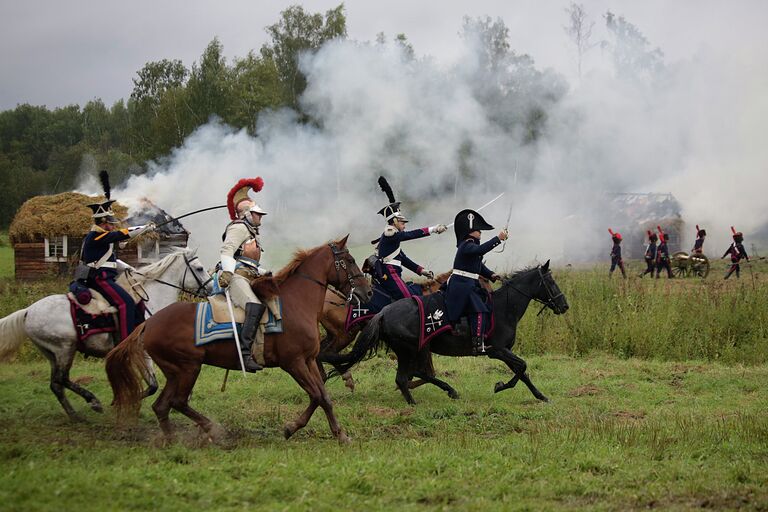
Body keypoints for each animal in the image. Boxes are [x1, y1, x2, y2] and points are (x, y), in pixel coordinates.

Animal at [0, 248, 213, 420]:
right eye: (199, 268)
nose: (211, 289)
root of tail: (28, 311)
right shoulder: (142, 350)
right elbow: (152, 385)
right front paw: (118, 404)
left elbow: (152, 385)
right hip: (65, 348)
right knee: (62, 379)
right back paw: (92, 401)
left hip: (51, 353)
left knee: (56, 384)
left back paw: (75, 415)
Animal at [106, 235, 372, 440]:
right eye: (349, 261)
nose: (367, 292)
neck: (296, 303)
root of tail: (149, 323)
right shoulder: (293, 363)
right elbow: (317, 395)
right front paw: (300, 429)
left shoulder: (308, 361)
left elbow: (323, 396)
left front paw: (334, 433)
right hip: (188, 368)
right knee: (177, 402)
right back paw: (213, 431)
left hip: (175, 372)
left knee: (162, 406)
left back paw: (172, 440)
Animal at [328, 262, 568, 406]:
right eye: (550, 282)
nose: (564, 305)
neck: (504, 308)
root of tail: (383, 313)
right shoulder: (497, 351)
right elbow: (522, 367)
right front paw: (500, 386)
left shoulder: (505, 351)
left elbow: (523, 371)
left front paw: (541, 396)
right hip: (410, 350)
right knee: (405, 377)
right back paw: (420, 401)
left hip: (415, 350)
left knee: (413, 375)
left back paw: (443, 392)